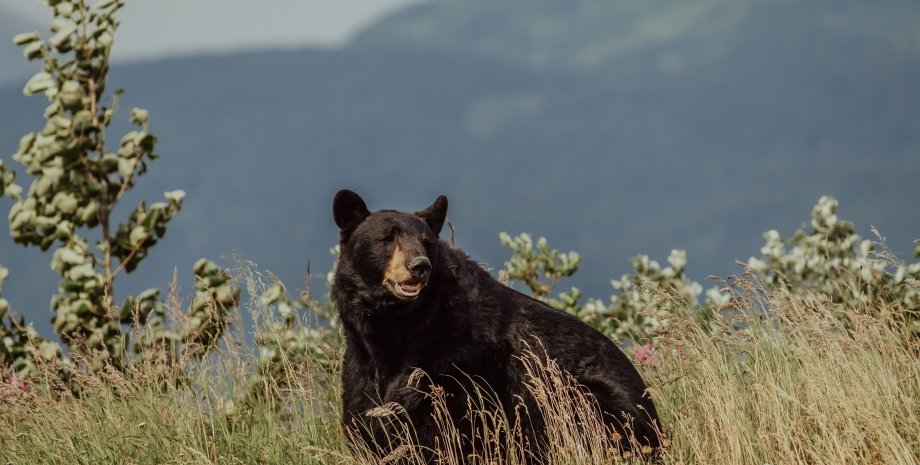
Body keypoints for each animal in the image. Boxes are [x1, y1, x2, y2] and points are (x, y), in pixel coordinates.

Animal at [330, 190, 660, 462]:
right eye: (388, 238)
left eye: (427, 243)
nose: (420, 266)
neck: (398, 326)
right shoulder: (361, 361)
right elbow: (365, 414)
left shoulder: (457, 359)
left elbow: (440, 422)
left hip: (584, 400)